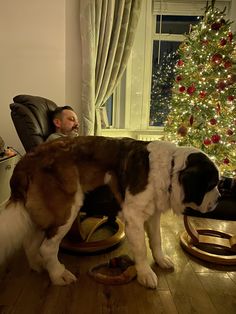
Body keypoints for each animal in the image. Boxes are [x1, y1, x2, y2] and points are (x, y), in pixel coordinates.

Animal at [0, 136, 220, 288]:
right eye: (211, 184)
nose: (218, 198)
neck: (172, 168)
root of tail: (26, 160)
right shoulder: (133, 217)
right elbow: (141, 248)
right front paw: (145, 274)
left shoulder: (153, 214)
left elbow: (156, 239)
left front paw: (160, 259)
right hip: (66, 210)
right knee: (47, 247)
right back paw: (58, 274)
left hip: (44, 216)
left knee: (31, 242)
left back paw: (38, 265)